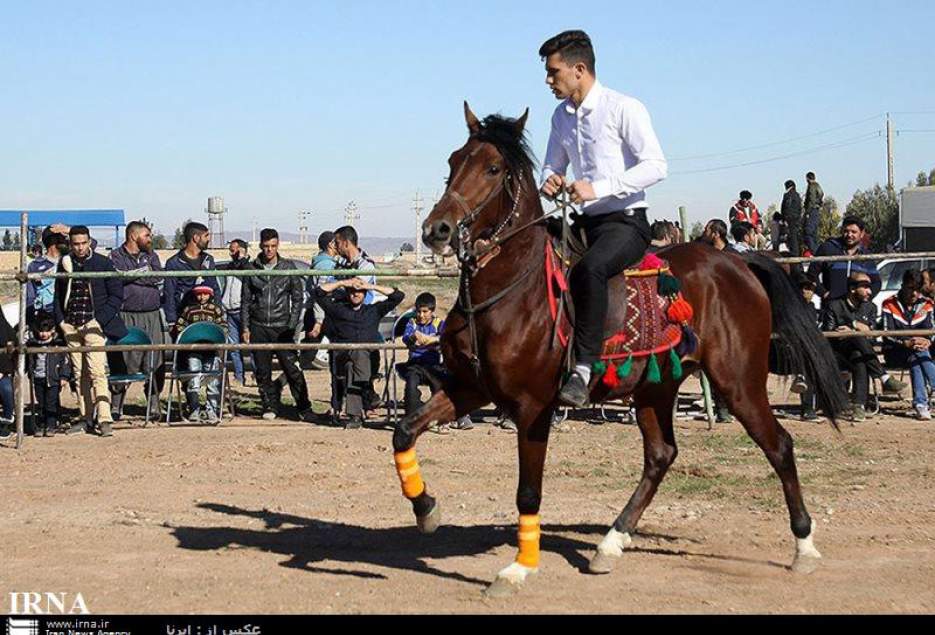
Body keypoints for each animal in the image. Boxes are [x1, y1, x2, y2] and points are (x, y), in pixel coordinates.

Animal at [388, 104, 848, 596]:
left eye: (493, 168)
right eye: (454, 161)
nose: (436, 229)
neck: (507, 294)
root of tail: (738, 263)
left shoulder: (532, 406)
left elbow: (528, 491)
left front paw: (517, 569)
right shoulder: (471, 387)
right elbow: (405, 431)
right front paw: (427, 510)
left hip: (738, 382)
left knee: (778, 445)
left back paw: (804, 549)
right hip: (655, 389)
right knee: (661, 455)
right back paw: (610, 543)